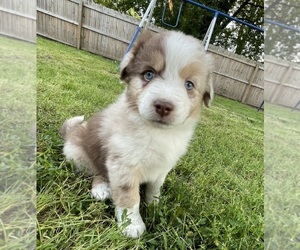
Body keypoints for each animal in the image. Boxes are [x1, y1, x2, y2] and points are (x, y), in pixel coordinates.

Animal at [60, 29, 213, 238]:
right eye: (149, 74)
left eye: (189, 85)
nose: (164, 106)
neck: (156, 132)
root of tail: (71, 132)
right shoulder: (123, 164)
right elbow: (129, 196)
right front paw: (131, 225)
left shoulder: (163, 167)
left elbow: (154, 188)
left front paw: (155, 206)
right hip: (79, 154)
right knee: (97, 171)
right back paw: (101, 189)